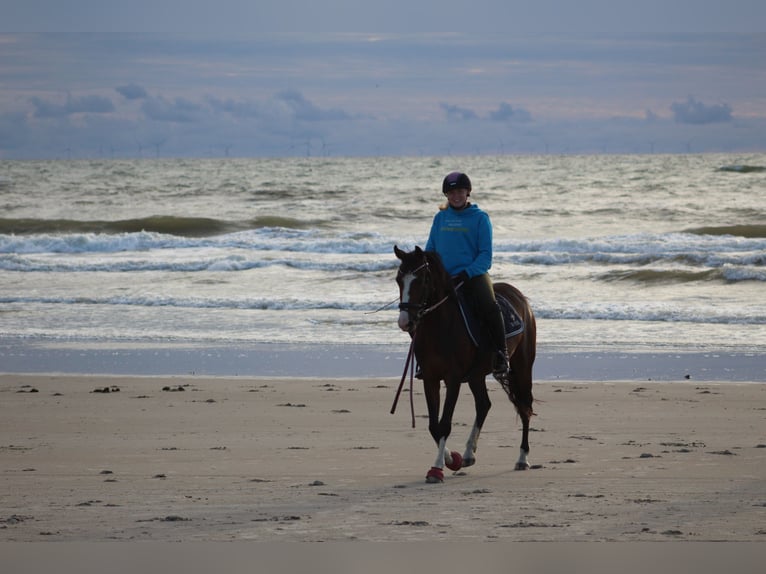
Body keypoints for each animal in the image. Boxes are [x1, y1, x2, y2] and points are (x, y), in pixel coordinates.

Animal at [392, 245, 536, 484]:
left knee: (525, 407)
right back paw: (469, 453)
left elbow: (445, 424)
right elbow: (434, 425)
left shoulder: (453, 379)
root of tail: (519, 297)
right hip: (476, 374)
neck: (441, 327)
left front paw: (437, 469)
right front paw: (453, 459)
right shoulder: (430, 378)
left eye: (422, 280)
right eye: (398, 279)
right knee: (484, 404)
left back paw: (522, 458)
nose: (405, 322)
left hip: (522, 366)